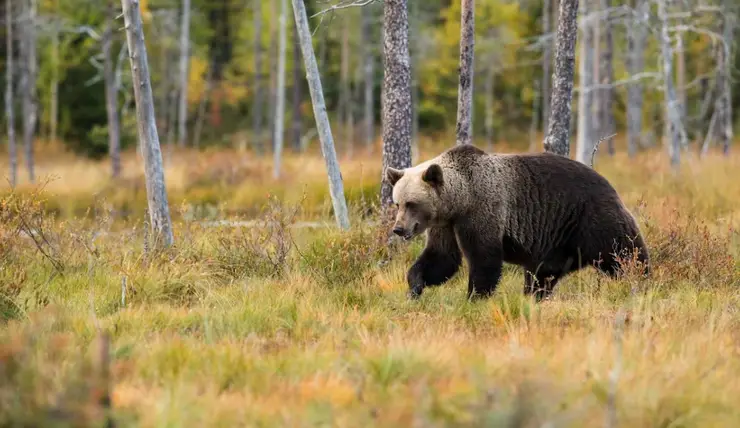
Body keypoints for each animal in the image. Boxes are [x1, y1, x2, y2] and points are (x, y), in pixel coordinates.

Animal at [384, 144, 652, 300]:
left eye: (412, 203)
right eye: (397, 203)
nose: (398, 229)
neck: (460, 200)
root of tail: (610, 184)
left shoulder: (483, 210)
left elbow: (484, 259)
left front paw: (474, 297)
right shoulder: (446, 225)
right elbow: (442, 258)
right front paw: (415, 286)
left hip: (591, 219)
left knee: (625, 252)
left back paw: (641, 281)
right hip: (557, 241)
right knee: (542, 274)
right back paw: (534, 296)